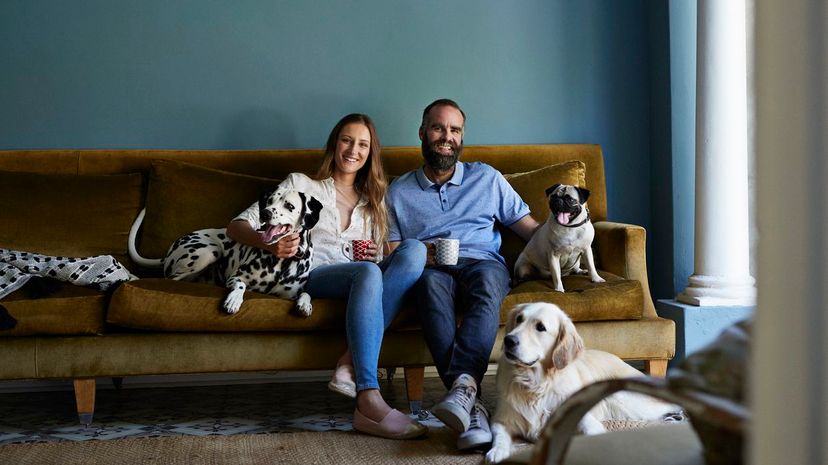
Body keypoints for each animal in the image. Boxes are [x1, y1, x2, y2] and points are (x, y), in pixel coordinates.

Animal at [129, 189, 324, 316]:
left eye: (289, 205)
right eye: (269, 202)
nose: (265, 213)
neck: (281, 261)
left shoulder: (288, 295)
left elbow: (306, 293)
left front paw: (305, 305)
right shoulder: (236, 277)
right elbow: (240, 286)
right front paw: (234, 300)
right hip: (208, 252)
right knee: (168, 279)